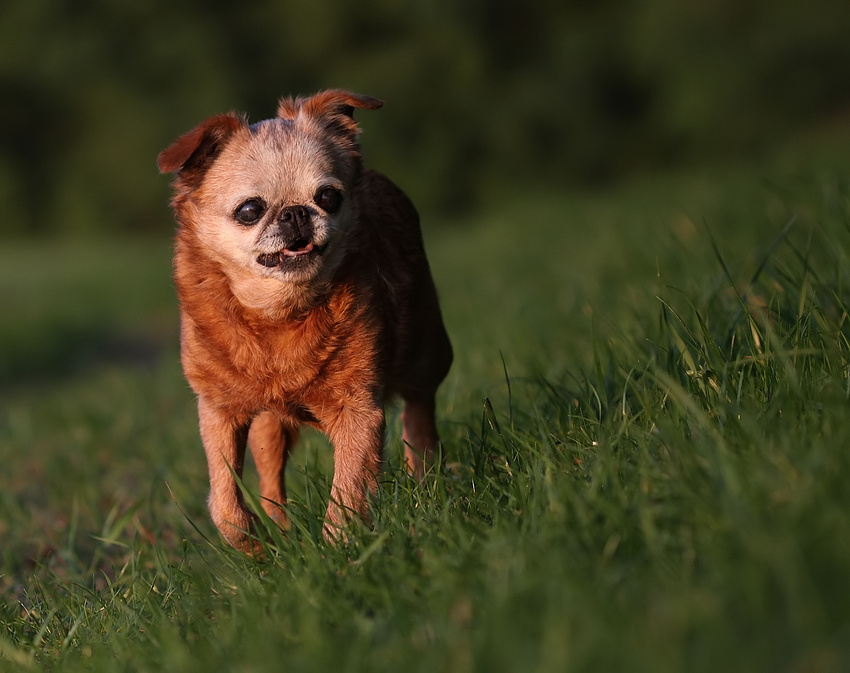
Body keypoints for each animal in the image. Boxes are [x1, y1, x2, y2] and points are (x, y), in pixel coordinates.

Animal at [157, 89, 450, 552]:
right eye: (250, 210)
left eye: (328, 197)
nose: (296, 212)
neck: (279, 313)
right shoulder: (219, 412)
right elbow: (225, 501)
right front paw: (253, 546)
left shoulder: (359, 412)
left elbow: (347, 491)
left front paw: (339, 551)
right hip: (268, 428)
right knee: (270, 480)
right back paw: (279, 529)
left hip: (426, 350)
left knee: (420, 413)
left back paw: (425, 477)